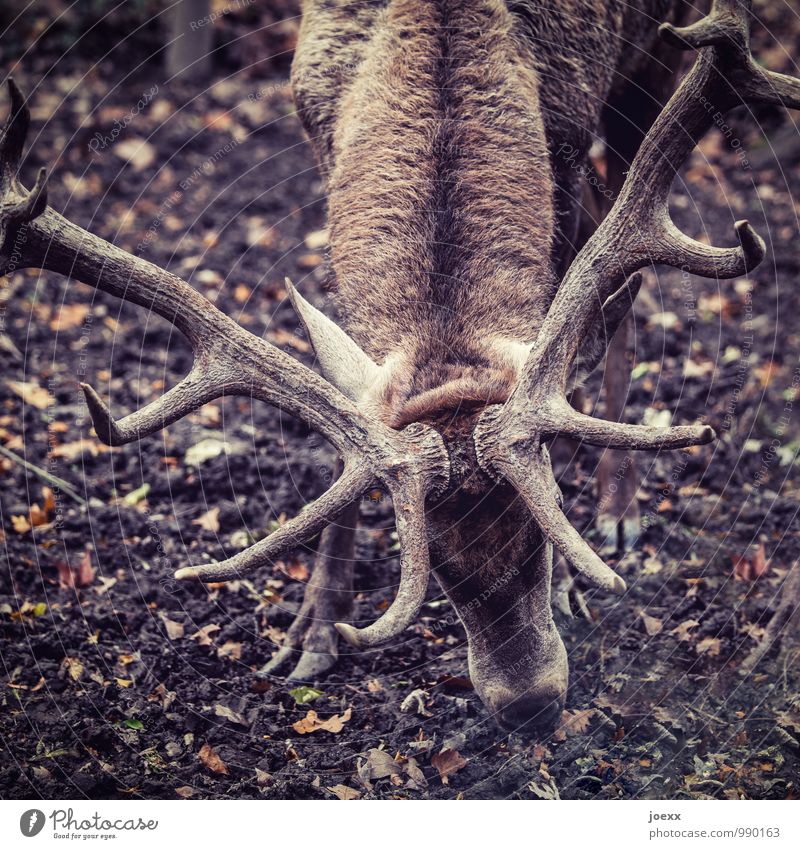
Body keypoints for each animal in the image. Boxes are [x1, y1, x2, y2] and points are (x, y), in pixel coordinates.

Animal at [0, 0, 796, 728]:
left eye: (544, 534)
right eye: (435, 564)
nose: (530, 705)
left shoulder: (568, 141)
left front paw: (576, 580)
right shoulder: (320, 136)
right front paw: (313, 629)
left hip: (646, 75)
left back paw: (620, 505)